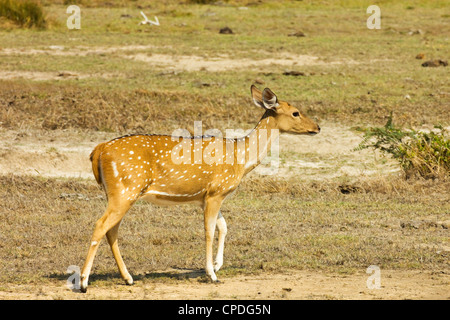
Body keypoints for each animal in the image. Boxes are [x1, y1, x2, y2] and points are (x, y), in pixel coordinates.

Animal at [80, 85, 320, 292]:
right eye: (296, 112)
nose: (317, 127)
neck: (241, 160)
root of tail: (98, 150)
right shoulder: (216, 191)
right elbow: (209, 231)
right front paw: (212, 274)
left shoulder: (209, 195)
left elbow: (224, 227)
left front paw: (217, 265)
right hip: (125, 190)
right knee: (101, 225)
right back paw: (83, 282)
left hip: (119, 193)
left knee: (111, 230)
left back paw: (128, 278)